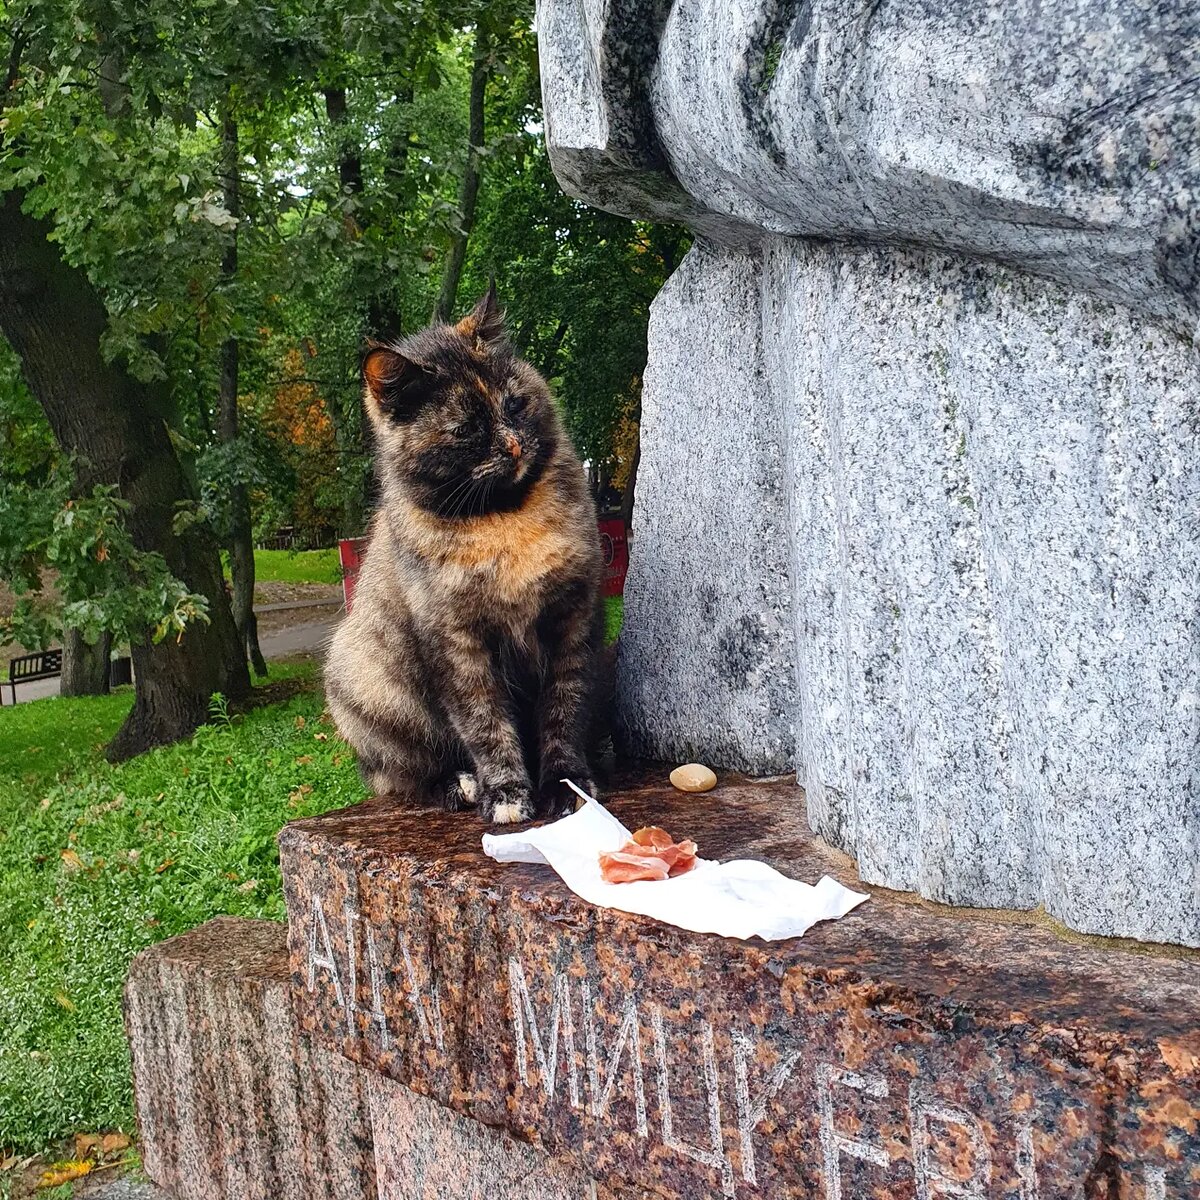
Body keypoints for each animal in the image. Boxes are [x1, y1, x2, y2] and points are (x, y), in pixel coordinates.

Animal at [324, 285, 604, 820]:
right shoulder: (456, 643)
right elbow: (484, 723)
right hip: (365, 680)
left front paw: (567, 783)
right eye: (465, 430)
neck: (503, 522)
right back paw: (458, 784)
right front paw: (506, 793)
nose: (514, 447)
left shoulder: (573, 616)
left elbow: (566, 707)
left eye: (515, 403)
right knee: (402, 776)